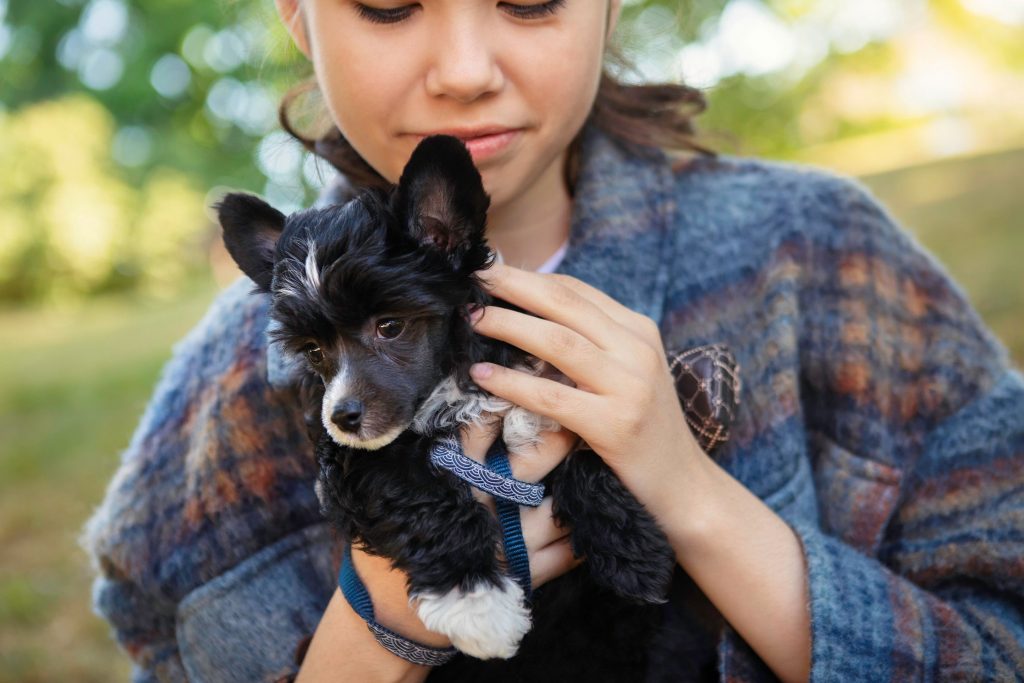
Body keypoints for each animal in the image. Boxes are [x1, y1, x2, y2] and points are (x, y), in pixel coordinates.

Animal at [218, 137, 671, 667]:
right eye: (313, 351)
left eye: (390, 326)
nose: (342, 416)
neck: (451, 383)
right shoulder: (354, 464)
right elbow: (420, 499)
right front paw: (477, 603)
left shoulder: (556, 397)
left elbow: (589, 456)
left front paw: (634, 553)